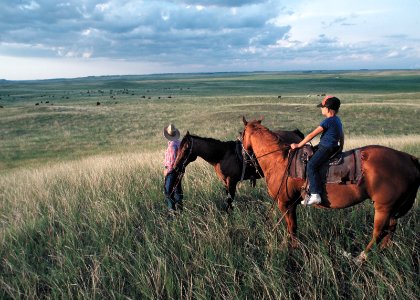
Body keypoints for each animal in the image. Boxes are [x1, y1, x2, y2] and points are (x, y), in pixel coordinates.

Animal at [172, 130, 304, 212]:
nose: (176, 167)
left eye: (185, 149)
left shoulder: (231, 181)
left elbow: (230, 200)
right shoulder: (225, 182)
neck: (221, 155)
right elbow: (228, 199)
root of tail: (295, 133)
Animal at [241, 117, 420, 262]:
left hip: (383, 207)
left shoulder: (285, 203)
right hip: (392, 208)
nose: (244, 155)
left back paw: (361, 257)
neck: (279, 160)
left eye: (241, 133)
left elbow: (291, 228)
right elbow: (294, 227)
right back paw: (383, 251)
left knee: (379, 232)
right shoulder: (290, 204)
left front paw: (292, 248)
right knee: (391, 229)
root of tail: (409, 158)